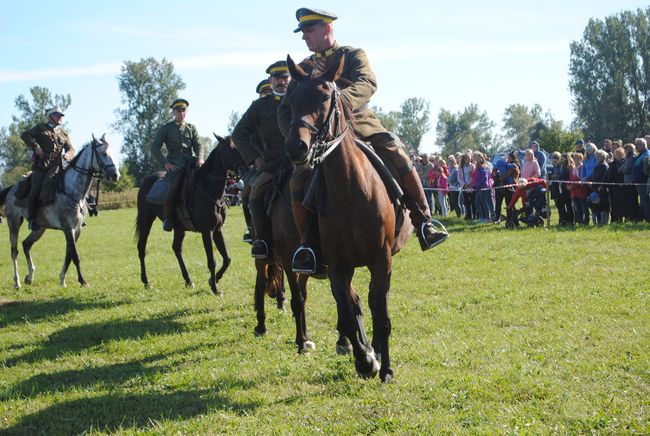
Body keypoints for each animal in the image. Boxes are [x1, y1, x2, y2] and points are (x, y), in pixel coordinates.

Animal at [0, 135, 119, 288]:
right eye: (104, 154)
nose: (115, 175)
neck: (72, 190)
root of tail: (12, 189)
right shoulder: (68, 228)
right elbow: (75, 255)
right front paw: (82, 281)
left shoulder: (77, 229)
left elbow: (69, 255)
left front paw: (62, 279)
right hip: (14, 223)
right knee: (14, 251)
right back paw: (17, 282)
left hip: (39, 228)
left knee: (26, 244)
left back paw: (30, 276)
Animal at [134, 135, 243, 294]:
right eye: (230, 149)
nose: (246, 166)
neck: (208, 189)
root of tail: (146, 181)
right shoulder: (206, 231)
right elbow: (212, 261)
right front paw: (215, 288)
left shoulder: (217, 230)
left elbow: (227, 258)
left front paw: (214, 280)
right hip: (146, 220)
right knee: (142, 248)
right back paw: (146, 281)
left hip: (179, 228)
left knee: (176, 248)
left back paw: (188, 280)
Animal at [286, 54, 412, 382]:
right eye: (291, 99)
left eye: (324, 97)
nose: (297, 147)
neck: (349, 190)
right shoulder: (337, 266)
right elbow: (346, 311)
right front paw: (364, 360)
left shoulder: (381, 261)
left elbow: (380, 312)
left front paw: (384, 366)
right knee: (352, 305)